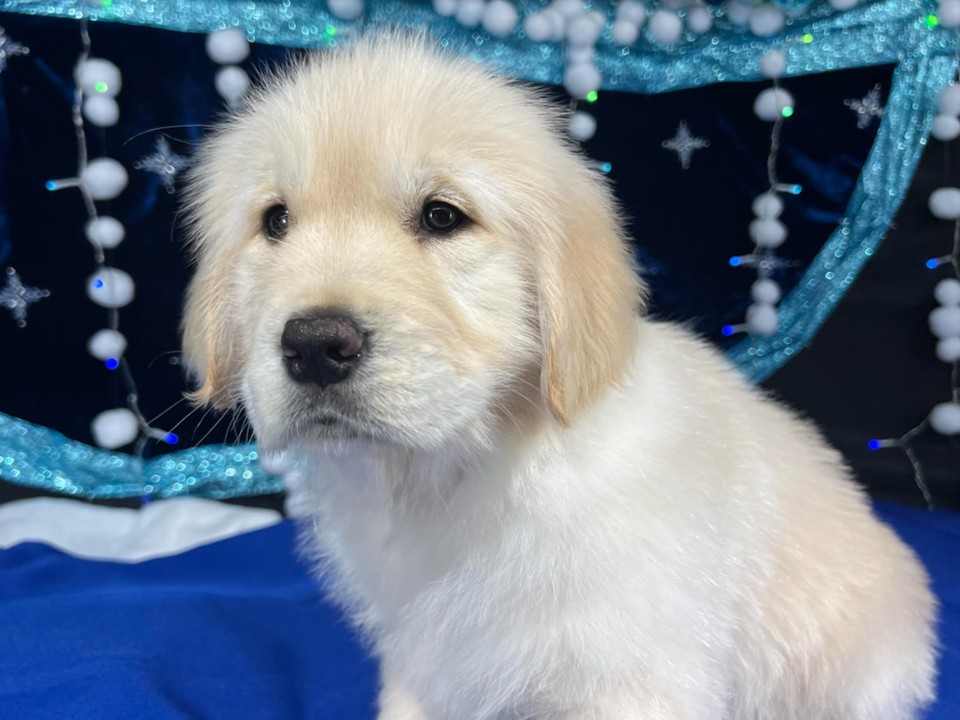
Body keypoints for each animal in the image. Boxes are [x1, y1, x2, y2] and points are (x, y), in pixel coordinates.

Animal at [181, 36, 937, 720]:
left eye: (442, 216)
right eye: (276, 221)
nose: (313, 345)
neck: (458, 469)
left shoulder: (627, 677)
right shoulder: (427, 658)